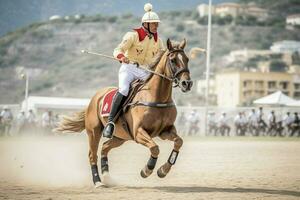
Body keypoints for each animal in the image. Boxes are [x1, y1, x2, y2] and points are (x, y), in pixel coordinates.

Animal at [55, 38, 193, 187]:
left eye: (187, 59)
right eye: (173, 60)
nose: (187, 83)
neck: (156, 96)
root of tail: (95, 98)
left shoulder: (165, 130)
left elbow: (179, 141)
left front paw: (163, 170)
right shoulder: (138, 132)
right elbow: (155, 148)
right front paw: (147, 170)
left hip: (120, 137)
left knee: (104, 148)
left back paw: (107, 176)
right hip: (94, 132)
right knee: (92, 154)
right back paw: (98, 181)